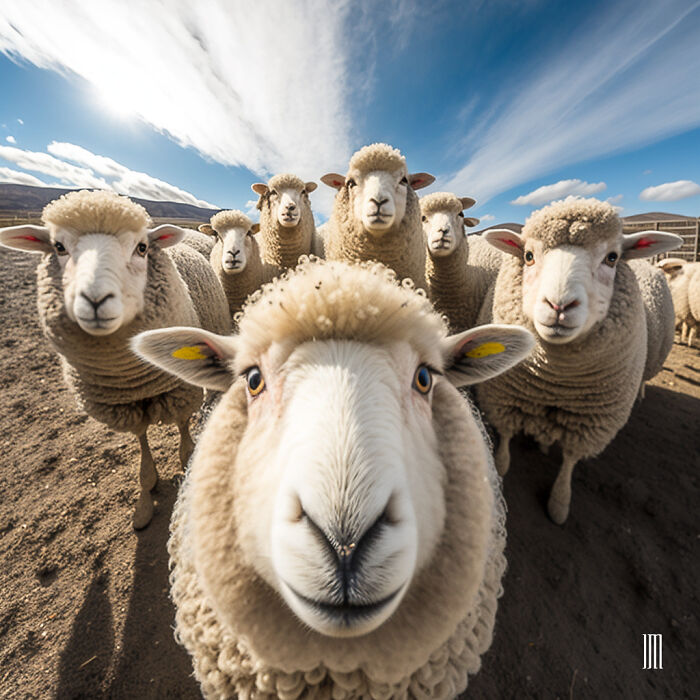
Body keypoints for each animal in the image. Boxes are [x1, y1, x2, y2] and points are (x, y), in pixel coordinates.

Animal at [0, 190, 231, 529]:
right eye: (58, 247)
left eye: (142, 247)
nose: (95, 300)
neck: (132, 378)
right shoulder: (123, 407)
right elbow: (142, 442)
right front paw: (145, 498)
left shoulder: (180, 389)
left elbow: (182, 425)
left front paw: (186, 458)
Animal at [476, 197, 681, 524]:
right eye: (529, 256)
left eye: (612, 258)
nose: (559, 305)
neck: (555, 381)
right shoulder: (502, 398)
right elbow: (506, 437)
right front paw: (500, 466)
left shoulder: (590, 424)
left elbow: (570, 462)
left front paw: (559, 504)